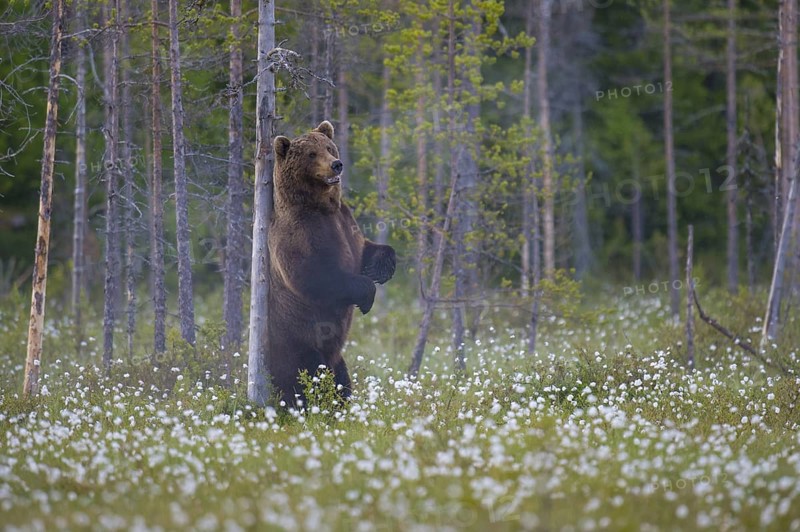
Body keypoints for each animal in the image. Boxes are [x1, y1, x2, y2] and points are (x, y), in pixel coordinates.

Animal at [265, 120, 396, 407]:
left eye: (329, 147)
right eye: (311, 154)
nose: (337, 164)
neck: (321, 205)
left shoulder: (345, 221)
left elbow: (362, 250)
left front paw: (380, 268)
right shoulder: (300, 233)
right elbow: (315, 276)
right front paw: (366, 296)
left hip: (335, 357)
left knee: (341, 378)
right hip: (297, 338)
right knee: (303, 375)